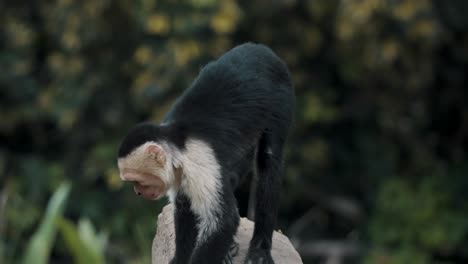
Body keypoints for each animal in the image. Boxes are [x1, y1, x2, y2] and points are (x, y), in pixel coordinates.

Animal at [118, 43, 292, 264]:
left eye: (138, 181)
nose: (138, 193)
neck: (178, 146)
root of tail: (260, 48)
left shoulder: (198, 160)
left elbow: (223, 221)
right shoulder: (181, 174)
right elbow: (186, 209)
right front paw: (180, 258)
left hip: (281, 97)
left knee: (268, 163)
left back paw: (260, 250)